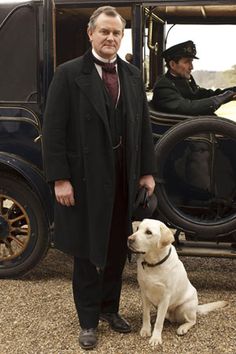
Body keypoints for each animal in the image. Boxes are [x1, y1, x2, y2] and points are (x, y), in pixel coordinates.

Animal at [128, 218, 228, 348]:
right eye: (137, 228)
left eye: (148, 232)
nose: (129, 239)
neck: (153, 264)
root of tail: (196, 307)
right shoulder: (144, 292)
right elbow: (146, 314)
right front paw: (145, 330)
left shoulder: (165, 297)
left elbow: (160, 322)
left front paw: (155, 338)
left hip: (184, 308)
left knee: (192, 320)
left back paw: (183, 328)